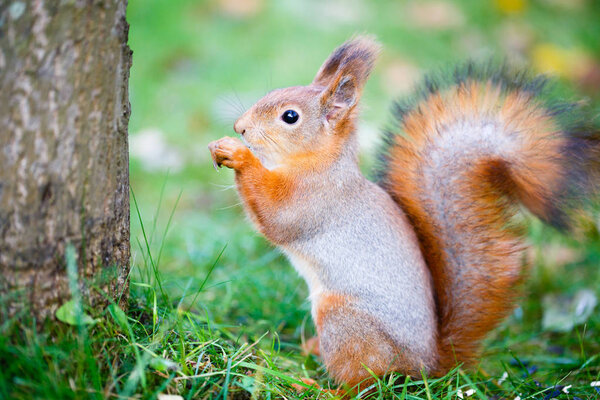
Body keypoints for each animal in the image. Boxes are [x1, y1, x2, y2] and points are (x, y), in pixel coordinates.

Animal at [207, 36, 600, 390]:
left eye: (290, 116)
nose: (240, 127)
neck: (318, 163)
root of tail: (429, 364)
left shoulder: (313, 201)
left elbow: (275, 216)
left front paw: (239, 155)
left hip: (345, 322)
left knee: (364, 382)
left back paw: (321, 388)